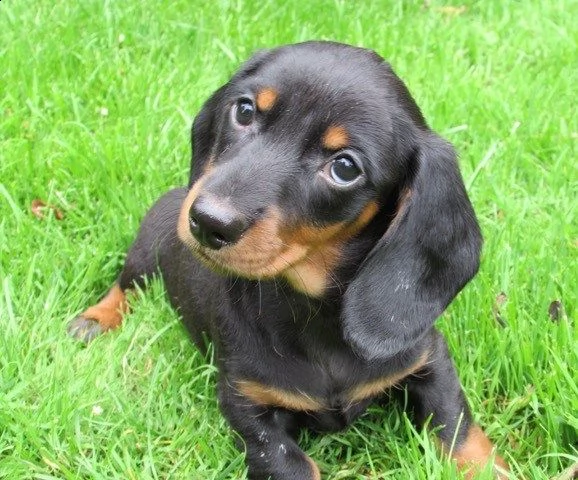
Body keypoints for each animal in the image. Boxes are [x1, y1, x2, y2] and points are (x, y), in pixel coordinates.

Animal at [68, 41, 508, 480]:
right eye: (244, 111)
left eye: (344, 167)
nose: (206, 222)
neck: (314, 315)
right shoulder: (247, 405)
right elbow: (289, 463)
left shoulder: (428, 357)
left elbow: (456, 426)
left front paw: (488, 467)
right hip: (145, 251)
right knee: (125, 285)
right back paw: (94, 321)